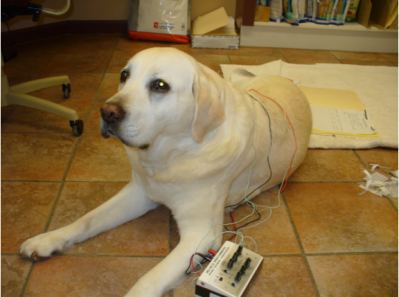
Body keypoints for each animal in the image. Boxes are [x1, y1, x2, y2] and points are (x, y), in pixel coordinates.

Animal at [19, 47, 312, 294]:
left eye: (160, 85)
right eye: (124, 75)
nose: (107, 112)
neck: (171, 156)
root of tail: (293, 83)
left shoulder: (201, 233)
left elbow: (149, 280)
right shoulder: (139, 193)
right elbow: (87, 220)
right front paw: (47, 239)